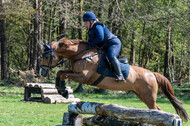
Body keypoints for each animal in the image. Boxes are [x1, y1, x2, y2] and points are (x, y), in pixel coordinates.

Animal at [39, 37, 189, 122]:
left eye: (46, 57)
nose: (42, 72)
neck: (81, 55)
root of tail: (151, 73)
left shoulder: (83, 77)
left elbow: (62, 74)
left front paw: (63, 90)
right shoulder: (75, 73)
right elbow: (60, 72)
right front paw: (61, 90)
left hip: (148, 96)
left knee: (155, 110)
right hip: (141, 95)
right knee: (156, 109)